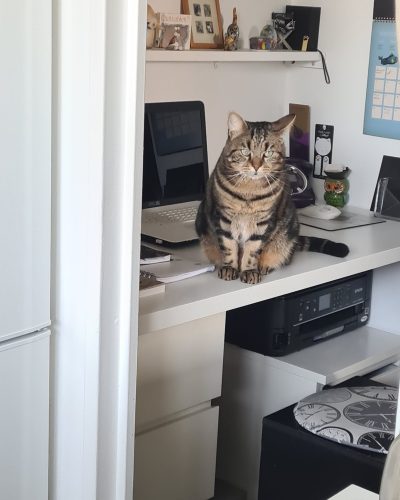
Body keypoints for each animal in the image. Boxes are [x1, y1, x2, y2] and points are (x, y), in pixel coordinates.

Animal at [195, 114, 348, 286]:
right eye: (245, 151)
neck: (249, 191)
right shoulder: (223, 217)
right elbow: (228, 245)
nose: (256, 166)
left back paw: (265, 266)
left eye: (268, 153)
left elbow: (252, 249)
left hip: (288, 231)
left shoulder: (262, 222)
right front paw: (230, 268)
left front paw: (249, 271)